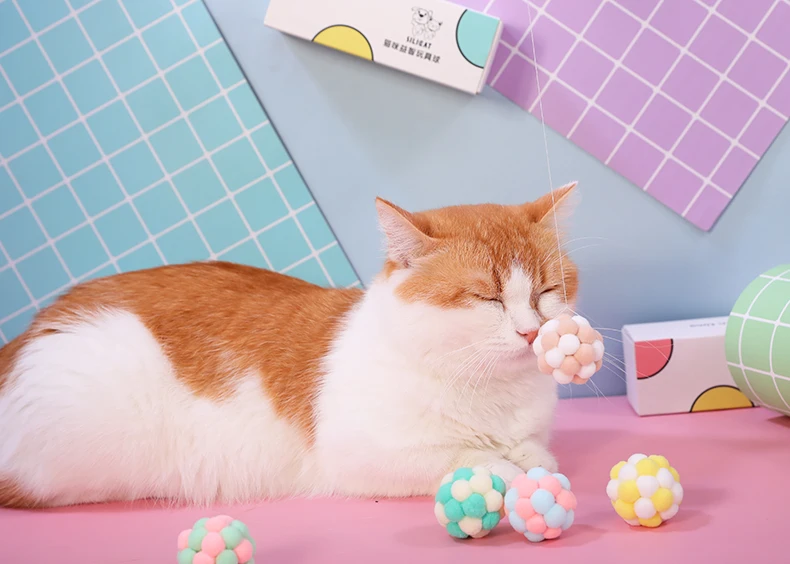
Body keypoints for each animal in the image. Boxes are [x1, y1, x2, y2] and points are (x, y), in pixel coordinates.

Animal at [0, 183, 578, 508]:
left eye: (546, 292)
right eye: (487, 298)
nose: (531, 332)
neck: (490, 392)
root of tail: (28, 333)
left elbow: (536, 450)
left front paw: (526, 455)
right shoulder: (361, 456)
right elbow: (464, 457)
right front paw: (500, 466)